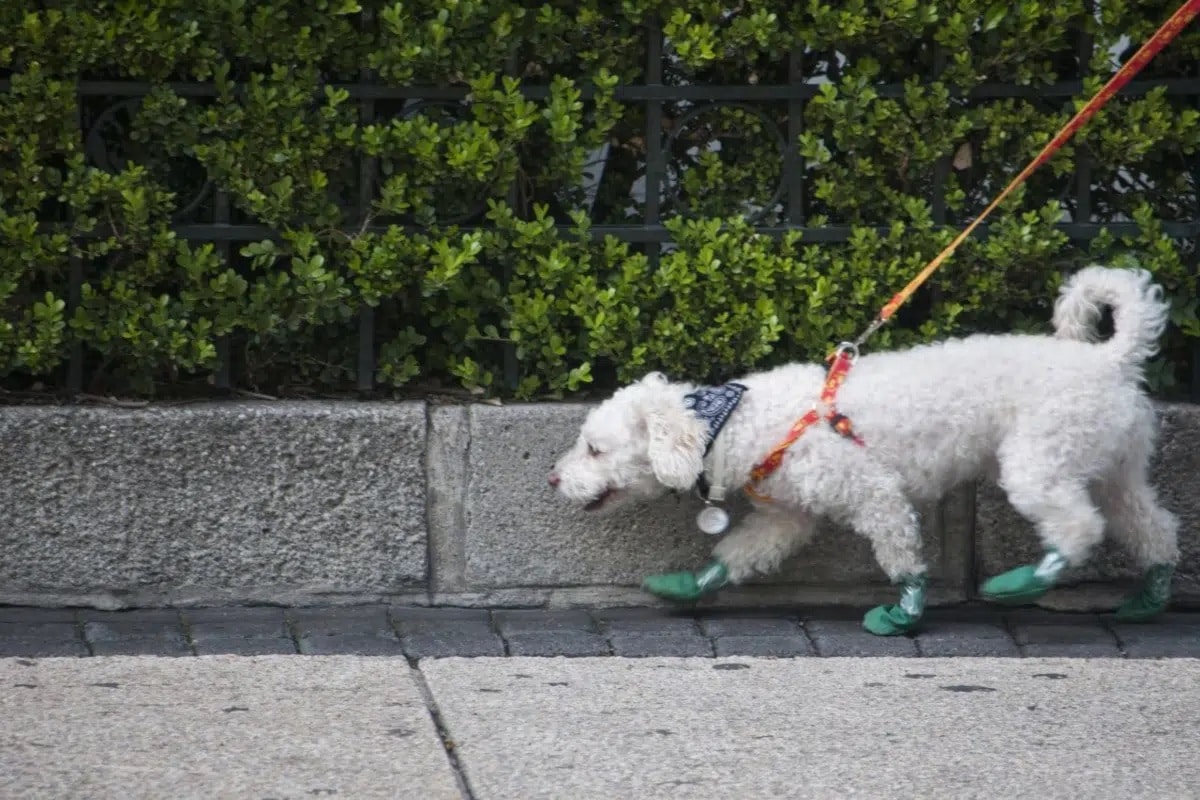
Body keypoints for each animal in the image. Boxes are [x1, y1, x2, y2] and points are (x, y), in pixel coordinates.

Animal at [549, 266, 1180, 633]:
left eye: (595, 449)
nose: (553, 481)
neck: (732, 423)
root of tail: (1110, 358)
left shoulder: (874, 494)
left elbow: (903, 556)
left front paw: (904, 613)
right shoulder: (788, 516)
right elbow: (738, 553)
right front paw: (687, 585)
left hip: (1040, 460)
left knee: (1079, 527)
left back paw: (1022, 582)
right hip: (1112, 465)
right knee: (1152, 527)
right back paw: (1150, 597)